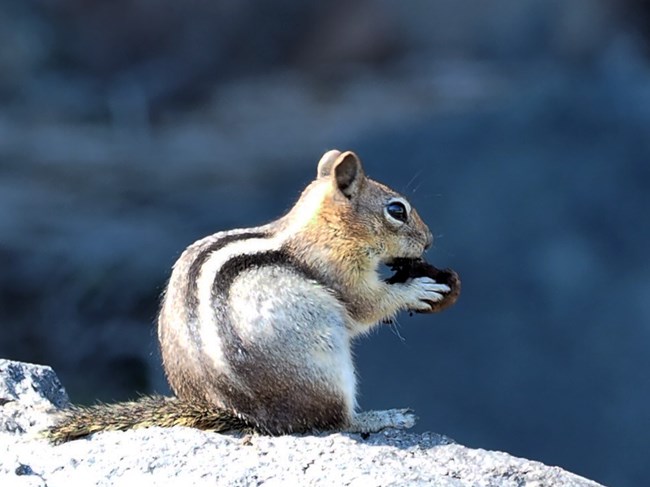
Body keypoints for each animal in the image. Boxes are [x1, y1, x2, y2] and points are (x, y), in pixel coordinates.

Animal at [46, 151, 460, 444]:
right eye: (397, 210)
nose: (429, 242)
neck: (322, 228)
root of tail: (246, 417)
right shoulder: (337, 271)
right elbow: (365, 306)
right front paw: (419, 290)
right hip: (329, 372)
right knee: (335, 421)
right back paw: (384, 417)